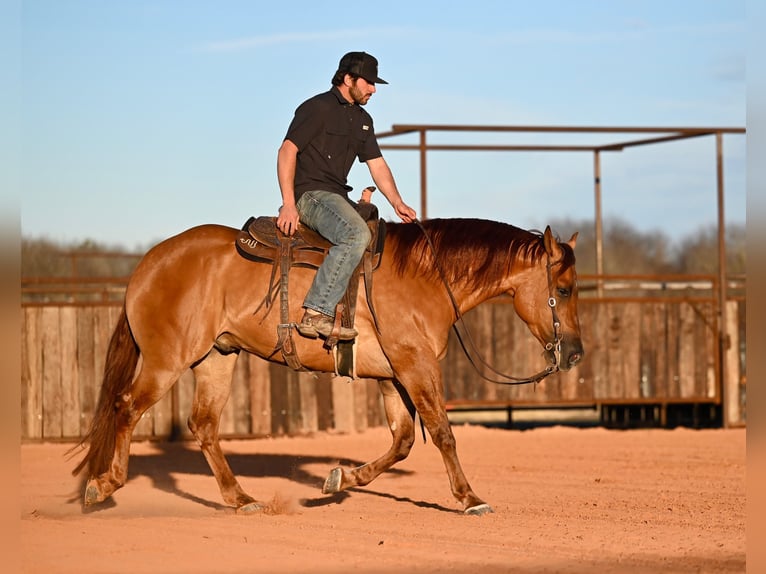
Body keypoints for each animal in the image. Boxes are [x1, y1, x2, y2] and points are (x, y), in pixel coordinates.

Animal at [73, 218, 588, 516]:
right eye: (563, 290)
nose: (576, 353)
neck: (426, 276)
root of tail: (149, 262)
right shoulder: (415, 366)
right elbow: (442, 432)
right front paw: (469, 498)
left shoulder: (392, 376)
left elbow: (403, 441)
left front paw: (339, 479)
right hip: (166, 361)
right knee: (126, 407)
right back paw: (104, 486)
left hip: (216, 357)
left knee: (203, 425)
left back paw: (241, 499)